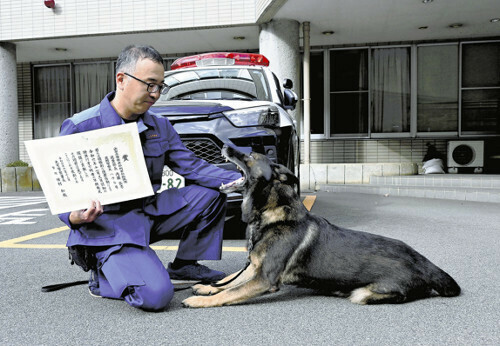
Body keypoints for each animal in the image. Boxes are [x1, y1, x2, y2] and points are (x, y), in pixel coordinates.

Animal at [181, 146, 460, 308]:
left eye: (250, 156)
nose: (226, 146)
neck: (270, 214)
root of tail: (426, 265)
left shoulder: (264, 279)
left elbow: (229, 292)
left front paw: (200, 299)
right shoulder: (255, 268)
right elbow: (229, 280)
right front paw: (207, 287)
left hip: (365, 293)